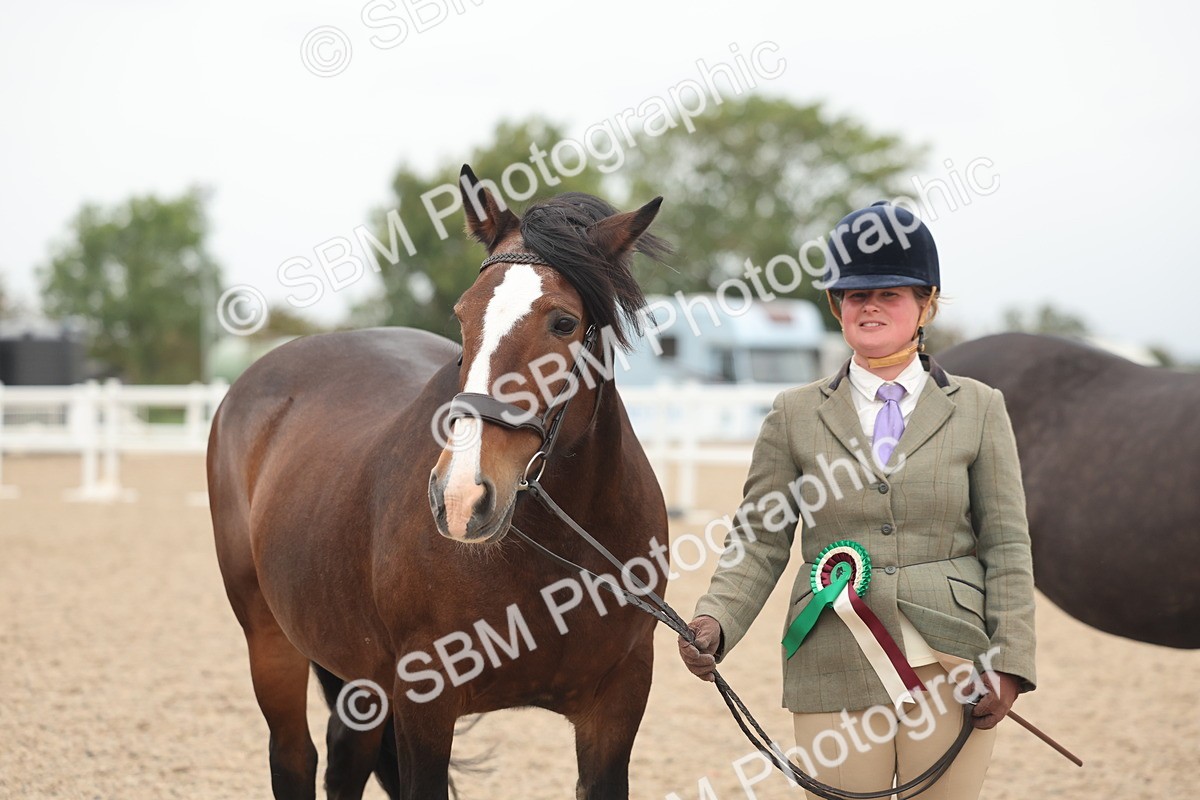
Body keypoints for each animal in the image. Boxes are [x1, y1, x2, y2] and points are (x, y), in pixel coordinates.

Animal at [207, 166, 672, 799]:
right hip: (269, 640)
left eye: (564, 322)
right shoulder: (424, 698)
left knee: (345, 756)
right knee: (294, 757)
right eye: (462, 315)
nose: (460, 497)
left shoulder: (618, 703)